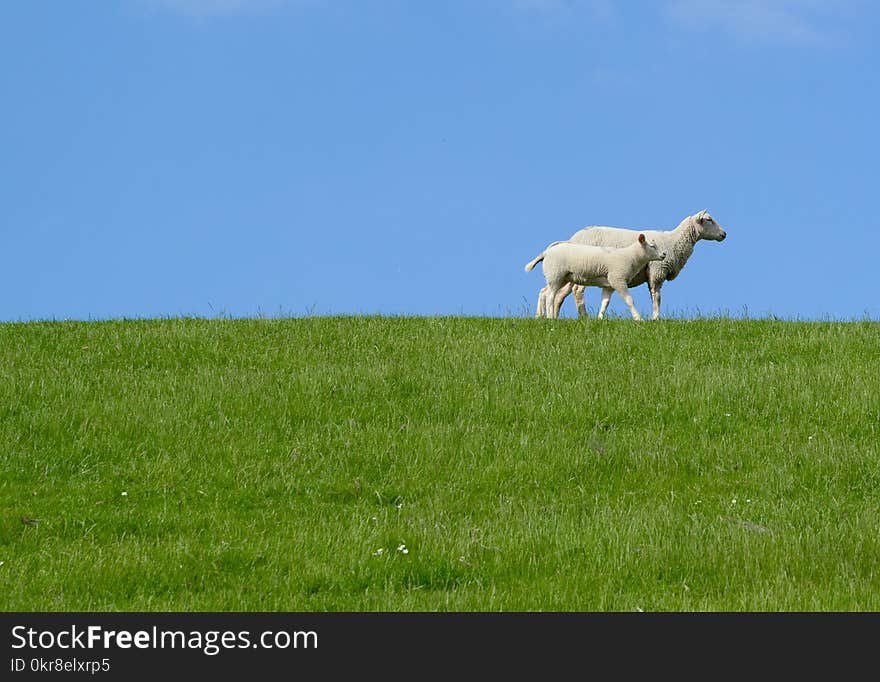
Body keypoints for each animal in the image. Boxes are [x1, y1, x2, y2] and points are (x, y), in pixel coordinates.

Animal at [524, 234, 668, 318]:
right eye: (652, 246)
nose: (664, 254)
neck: (631, 256)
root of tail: (546, 252)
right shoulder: (618, 280)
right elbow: (629, 300)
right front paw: (638, 319)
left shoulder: (609, 285)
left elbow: (605, 303)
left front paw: (600, 319)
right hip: (555, 275)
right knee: (550, 296)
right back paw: (550, 317)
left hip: (560, 277)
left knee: (544, 292)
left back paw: (540, 316)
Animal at [552, 209, 728, 320]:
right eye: (709, 219)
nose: (724, 234)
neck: (674, 241)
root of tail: (572, 238)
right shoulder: (657, 272)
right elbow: (657, 297)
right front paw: (656, 318)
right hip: (584, 270)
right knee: (577, 291)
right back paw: (584, 317)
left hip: (570, 274)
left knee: (558, 294)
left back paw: (554, 317)